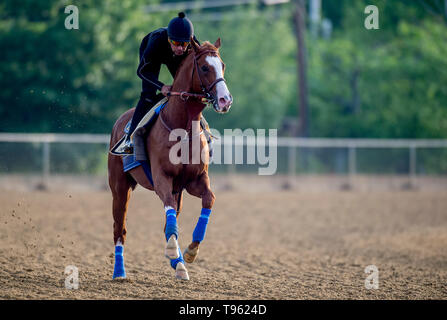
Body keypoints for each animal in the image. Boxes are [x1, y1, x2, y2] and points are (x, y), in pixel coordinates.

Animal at [108, 38, 233, 280]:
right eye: (205, 67)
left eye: (222, 65)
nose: (225, 100)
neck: (182, 128)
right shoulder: (161, 179)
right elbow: (168, 212)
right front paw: (176, 252)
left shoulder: (194, 180)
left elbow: (209, 199)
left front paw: (190, 251)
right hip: (120, 187)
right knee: (120, 229)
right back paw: (119, 272)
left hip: (177, 191)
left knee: (168, 222)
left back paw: (179, 263)